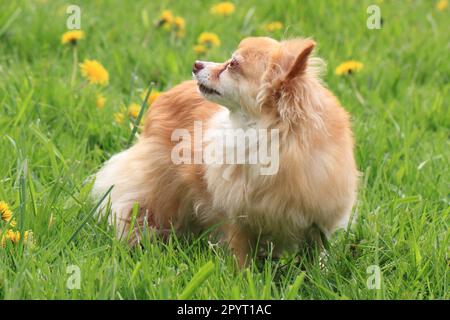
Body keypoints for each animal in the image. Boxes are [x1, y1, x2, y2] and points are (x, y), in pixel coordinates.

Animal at [92, 37, 358, 268]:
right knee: (135, 210)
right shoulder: (237, 219)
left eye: (233, 64)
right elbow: (240, 256)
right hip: (157, 190)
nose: (196, 64)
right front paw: (243, 280)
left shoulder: (316, 223)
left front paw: (316, 276)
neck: (267, 135)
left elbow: (315, 255)